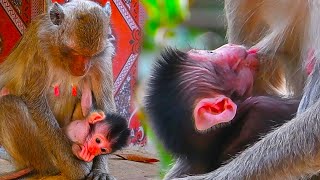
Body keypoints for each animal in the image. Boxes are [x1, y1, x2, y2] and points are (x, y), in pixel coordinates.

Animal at [0, 0, 116, 179]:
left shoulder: (103, 55)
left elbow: (106, 104)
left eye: (91, 55)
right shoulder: (40, 45)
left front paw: (100, 169)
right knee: (9, 104)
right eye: (75, 52)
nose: (83, 68)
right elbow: (34, 99)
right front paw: (76, 168)